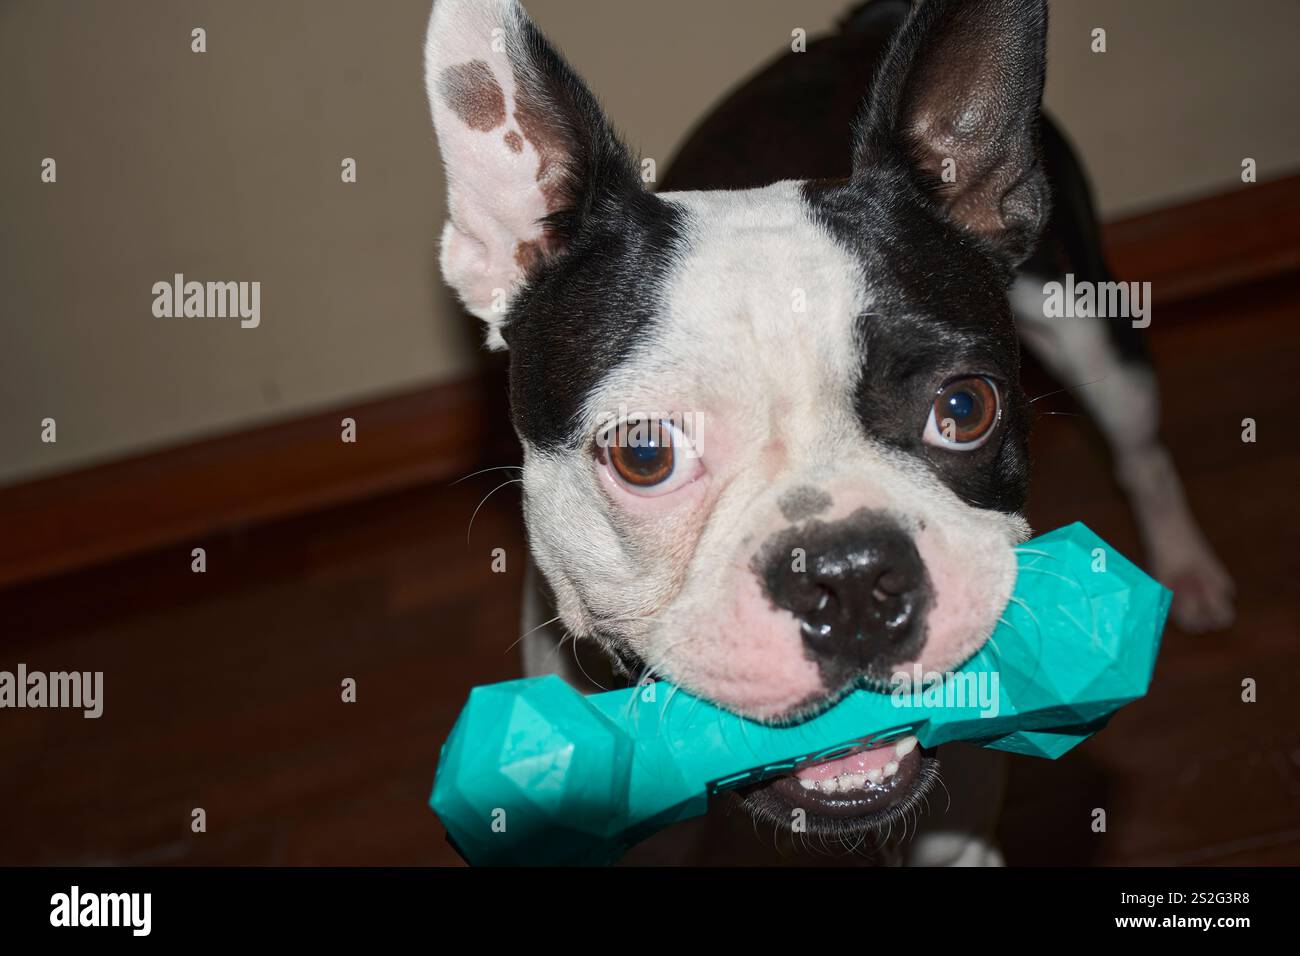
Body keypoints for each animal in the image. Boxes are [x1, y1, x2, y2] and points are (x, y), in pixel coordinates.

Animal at [423, 0, 1227, 863]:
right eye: (645, 455)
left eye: (964, 410)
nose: (849, 573)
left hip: (1087, 321)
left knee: (1139, 446)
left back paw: (1190, 569)